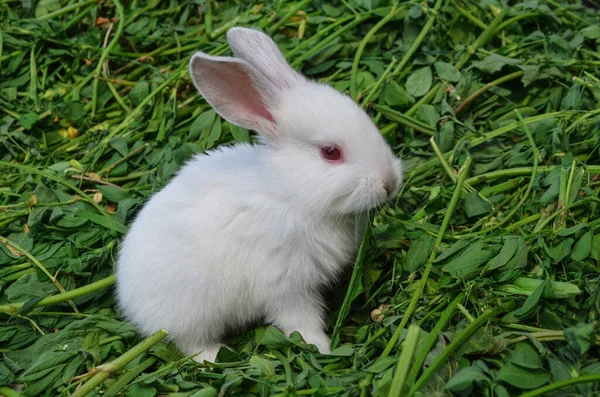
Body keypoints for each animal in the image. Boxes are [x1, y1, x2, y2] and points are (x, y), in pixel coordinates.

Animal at [115, 27, 400, 362]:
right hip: (192, 312)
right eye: (331, 152)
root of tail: (128, 296)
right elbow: (300, 320)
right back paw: (215, 356)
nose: (390, 182)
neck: (289, 192)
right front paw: (321, 347)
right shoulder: (286, 285)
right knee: (190, 343)